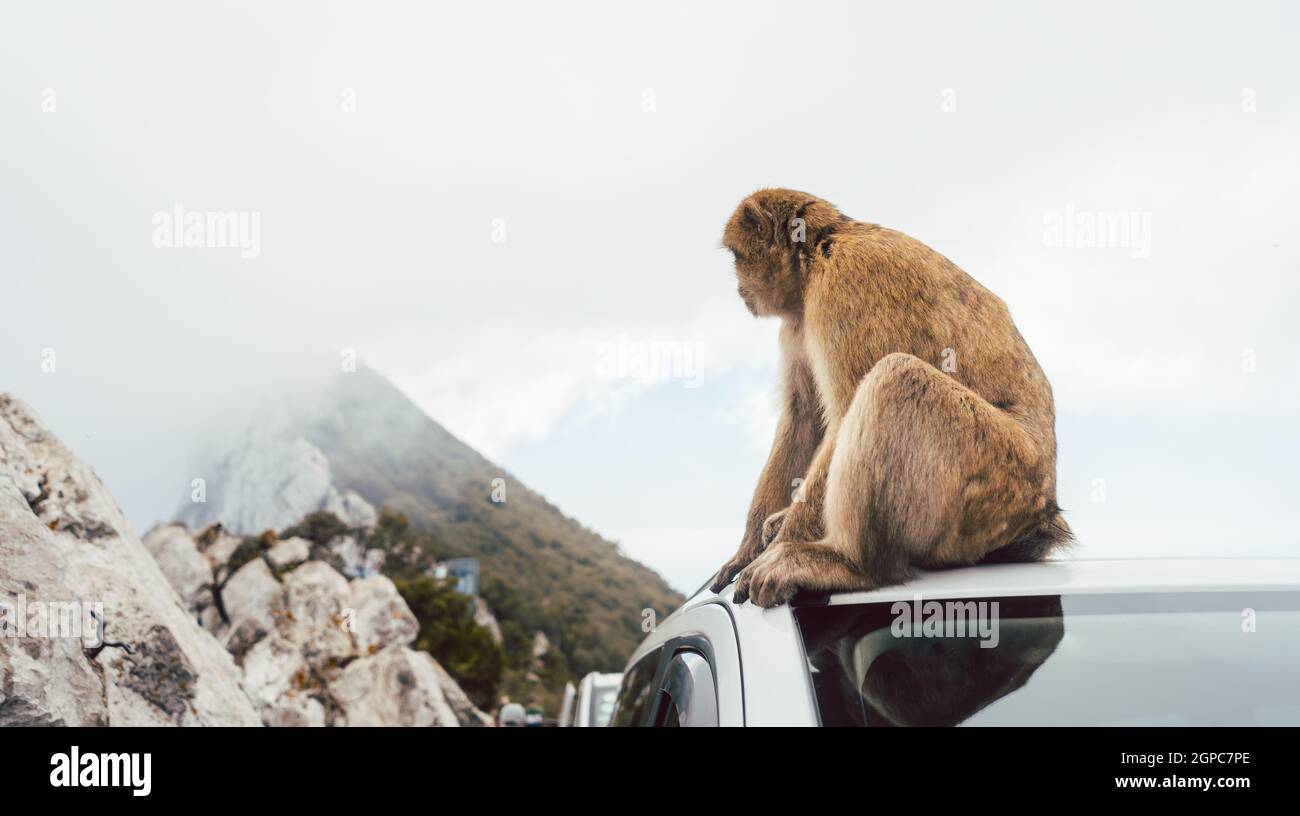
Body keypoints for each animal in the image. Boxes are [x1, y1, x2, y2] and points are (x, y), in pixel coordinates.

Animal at [707, 187, 1071, 605]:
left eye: (736, 256)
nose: (739, 287)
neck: (820, 249)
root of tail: (1044, 515)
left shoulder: (846, 281)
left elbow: (843, 412)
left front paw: (783, 546)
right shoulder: (797, 319)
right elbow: (803, 418)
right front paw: (747, 551)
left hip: (999, 481)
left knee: (897, 378)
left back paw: (850, 563)